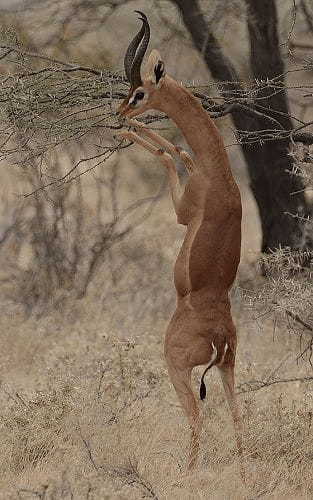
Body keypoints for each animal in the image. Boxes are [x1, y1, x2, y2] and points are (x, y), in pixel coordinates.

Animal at [117, 11, 241, 470]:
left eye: (138, 92)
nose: (119, 109)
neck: (217, 172)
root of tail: (219, 336)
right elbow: (179, 153)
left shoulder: (181, 213)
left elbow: (167, 156)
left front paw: (127, 131)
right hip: (228, 368)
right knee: (238, 417)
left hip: (177, 367)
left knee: (197, 417)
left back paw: (186, 472)